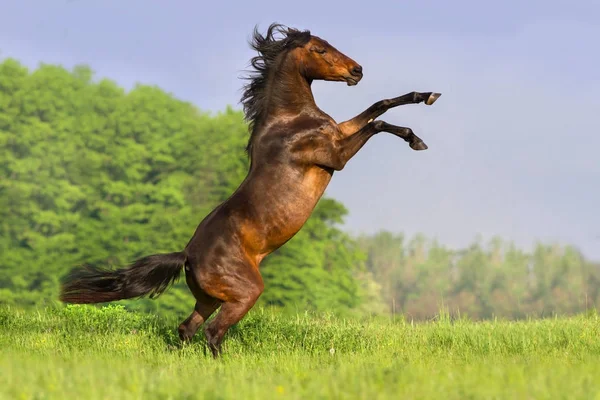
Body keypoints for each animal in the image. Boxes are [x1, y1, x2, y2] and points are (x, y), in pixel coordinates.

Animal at [59, 23, 440, 358]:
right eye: (319, 49)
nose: (356, 71)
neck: (290, 121)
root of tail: (187, 255)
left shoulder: (339, 132)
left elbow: (379, 106)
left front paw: (425, 99)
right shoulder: (336, 155)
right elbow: (377, 122)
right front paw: (416, 138)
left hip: (211, 299)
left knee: (187, 328)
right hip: (245, 293)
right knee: (212, 333)